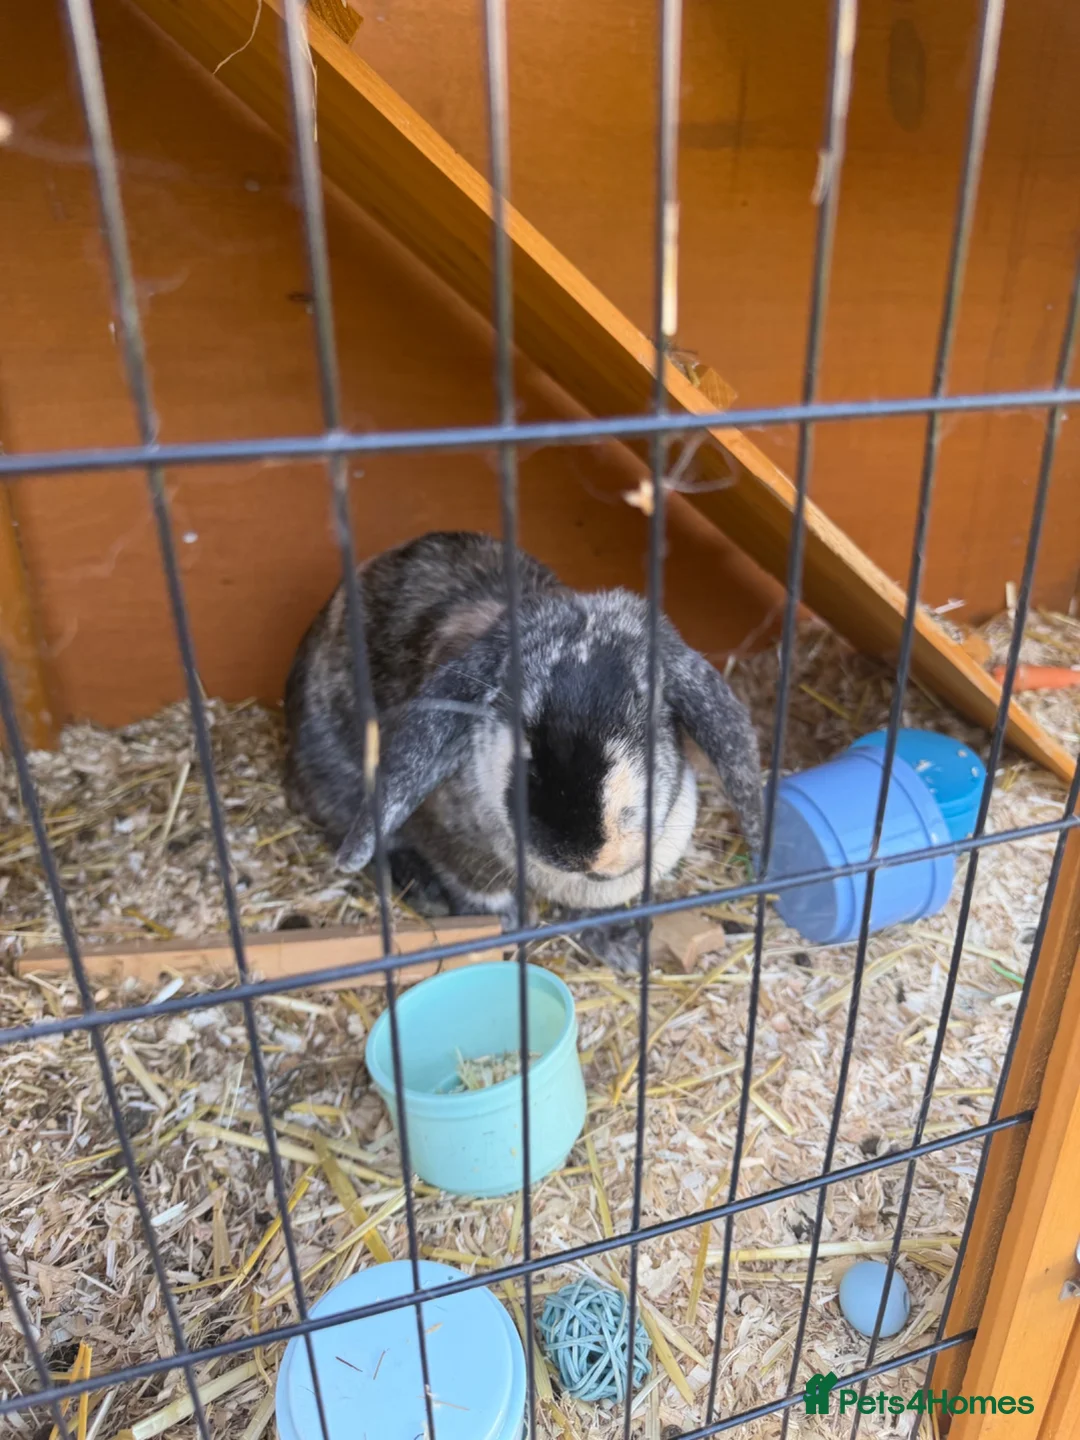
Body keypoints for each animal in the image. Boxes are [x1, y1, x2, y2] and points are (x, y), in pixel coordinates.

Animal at [284, 531, 763, 968]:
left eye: (650, 726)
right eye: (525, 736)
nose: (583, 852)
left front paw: (623, 947)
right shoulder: (451, 839)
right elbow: (482, 889)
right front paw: (509, 925)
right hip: (338, 783)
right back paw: (423, 887)